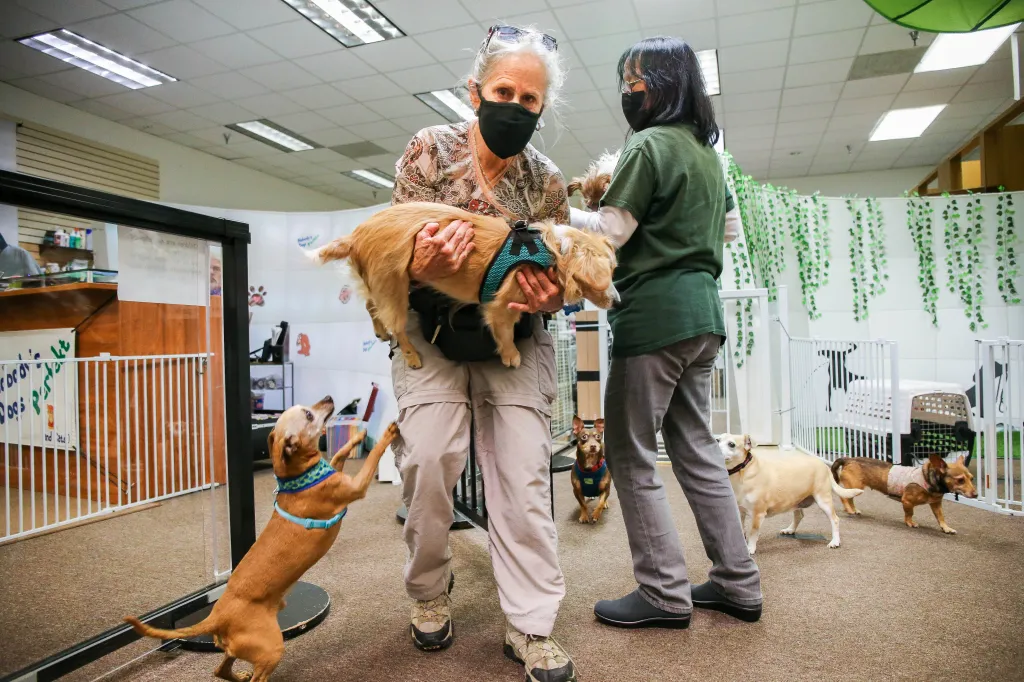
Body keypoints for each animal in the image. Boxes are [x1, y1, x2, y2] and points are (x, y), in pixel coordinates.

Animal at [123, 395, 399, 675]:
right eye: (308, 415)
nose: (330, 398)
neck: (299, 474)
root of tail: (216, 616)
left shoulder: (335, 470)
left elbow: (340, 453)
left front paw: (357, 438)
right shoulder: (356, 487)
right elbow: (373, 455)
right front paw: (388, 433)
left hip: (237, 648)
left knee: (221, 670)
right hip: (271, 649)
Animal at [311, 199, 614, 368]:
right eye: (606, 277)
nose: (617, 300)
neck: (551, 249)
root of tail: (355, 236)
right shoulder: (501, 307)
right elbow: (505, 334)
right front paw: (511, 356)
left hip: (380, 283)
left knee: (371, 305)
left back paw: (379, 330)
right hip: (393, 286)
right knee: (396, 326)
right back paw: (410, 355)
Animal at [720, 436, 864, 552]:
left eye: (731, 444)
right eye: (718, 440)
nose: (716, 447)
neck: (743, 471)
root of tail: (823, 465)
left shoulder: (758, 514)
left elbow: (753, 533)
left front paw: (750, 548)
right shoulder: (740, 511)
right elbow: (741, 529)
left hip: (824, 501)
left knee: (835, 520)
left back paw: (835, 542)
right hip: (796, 500)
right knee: (799, 516)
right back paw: (790, 529)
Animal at [831, 454, 974, 532]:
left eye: (971, 478)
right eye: (960, 480)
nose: (976, 494)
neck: (927, 478)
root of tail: (848, 459)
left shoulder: (936, 504)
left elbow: (941, 517)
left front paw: (946, 528)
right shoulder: (907, 501)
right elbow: (909, 514)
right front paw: (910, 523)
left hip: (855, 489)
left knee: (849, 498)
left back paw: (853, 509)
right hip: (855, 487)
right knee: (844, 498)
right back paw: (850, 510)